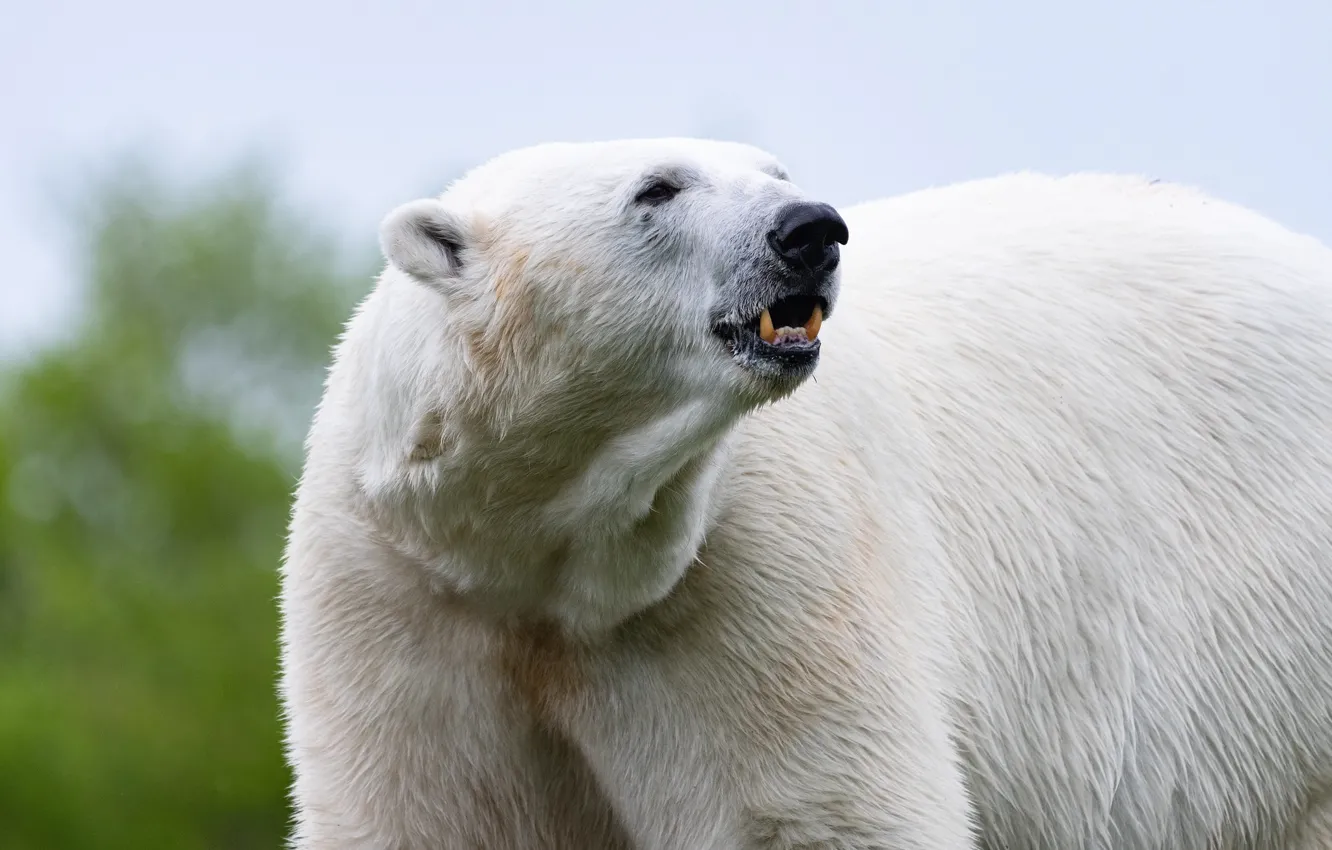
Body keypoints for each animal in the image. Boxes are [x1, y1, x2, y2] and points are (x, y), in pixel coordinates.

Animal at [279, 138, 1332, 849]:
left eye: (776, 171)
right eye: (657, 186)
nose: (811, 229)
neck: (539, 549)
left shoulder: (759, 570)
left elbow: (814, 810)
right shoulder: (401, 593)